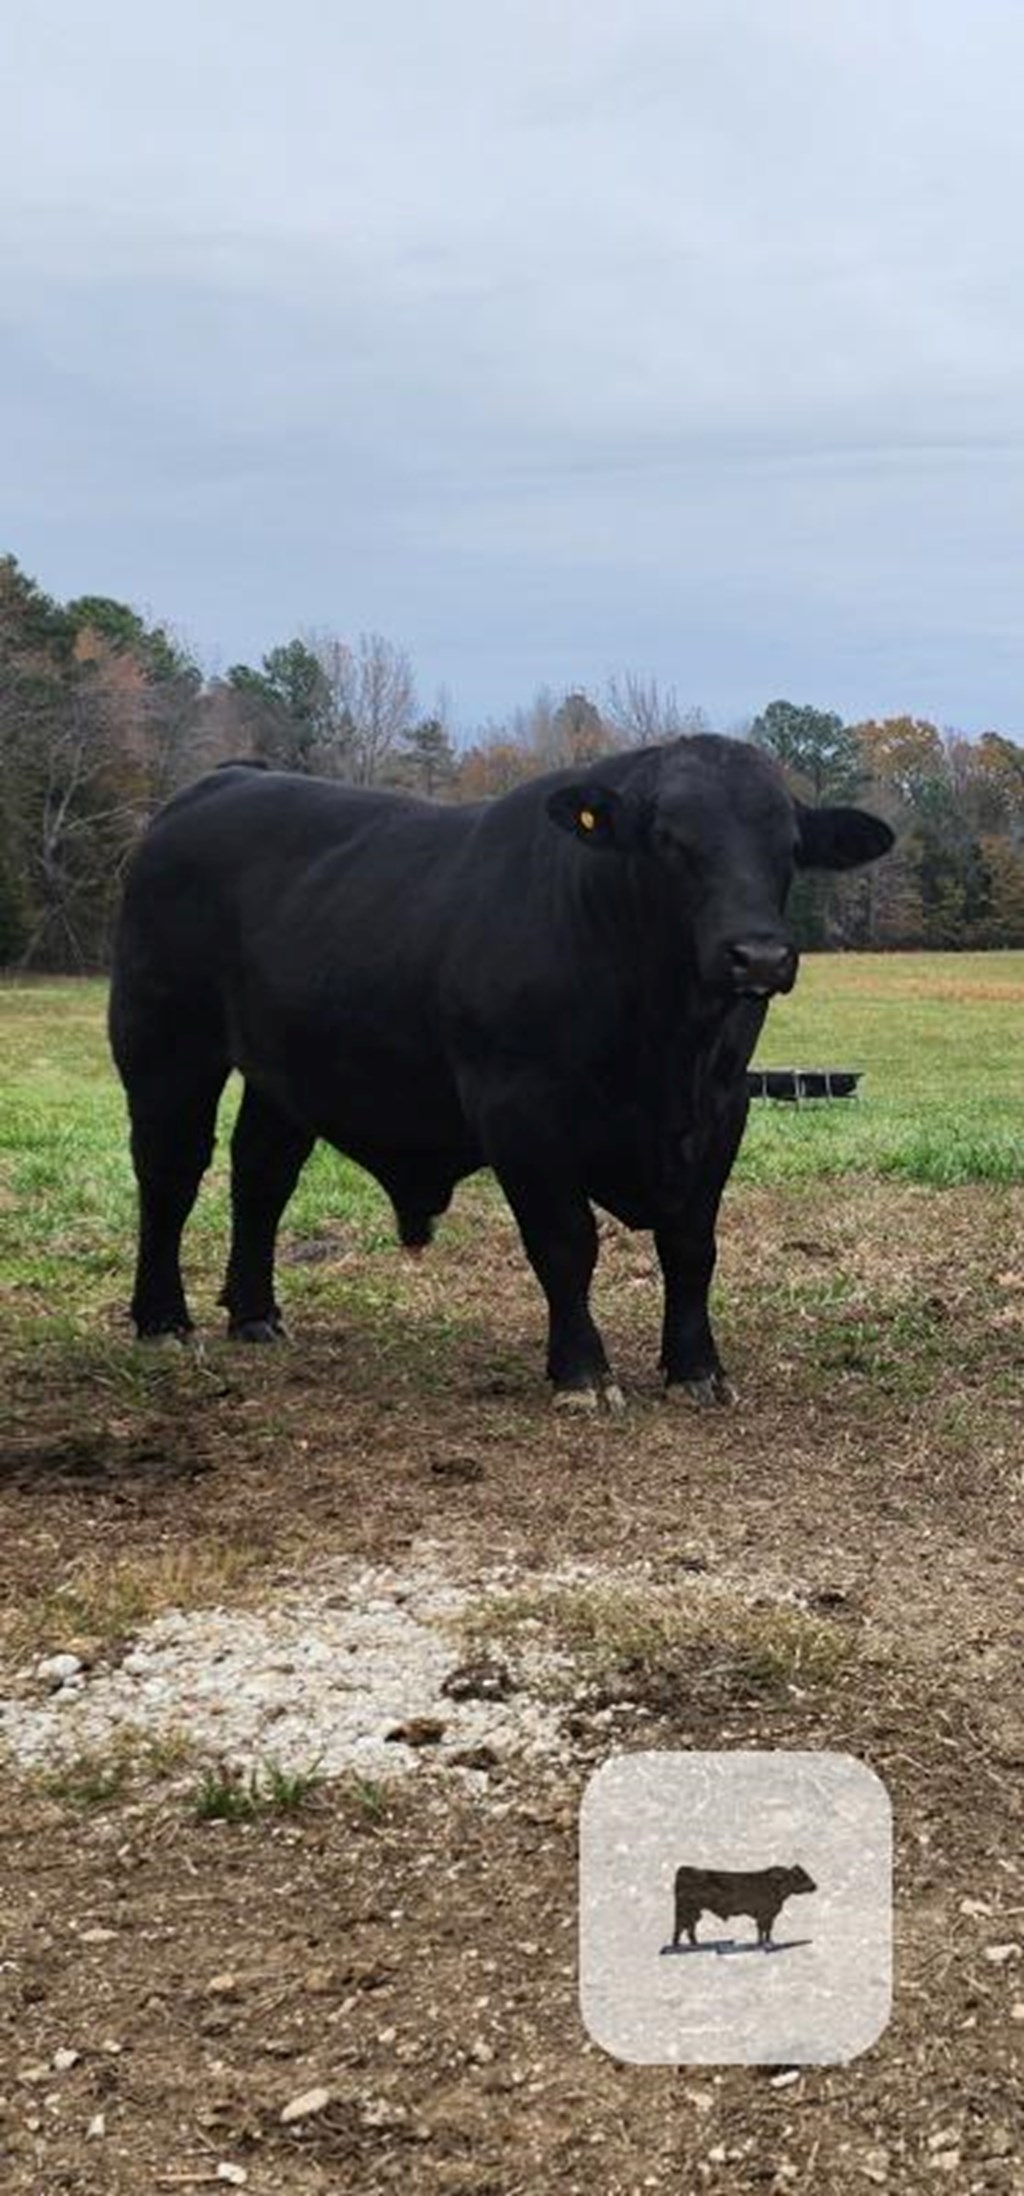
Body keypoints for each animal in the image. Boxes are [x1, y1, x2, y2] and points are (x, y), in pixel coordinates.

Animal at [108, 729, 887, 1396]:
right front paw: (582, 1372)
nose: (758, 955)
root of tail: (225, 781)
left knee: (261, 1177)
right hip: (162, 1039)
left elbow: (692, 1244)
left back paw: (255, 1314)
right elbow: (565, 1243)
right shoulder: (520, 1110)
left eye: (790, 847)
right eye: (670, 839)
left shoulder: (722, 1108)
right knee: (170, 1171)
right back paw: (163, 1320)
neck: (666, 1045)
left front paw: (696, 1368)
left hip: (286, 1070)